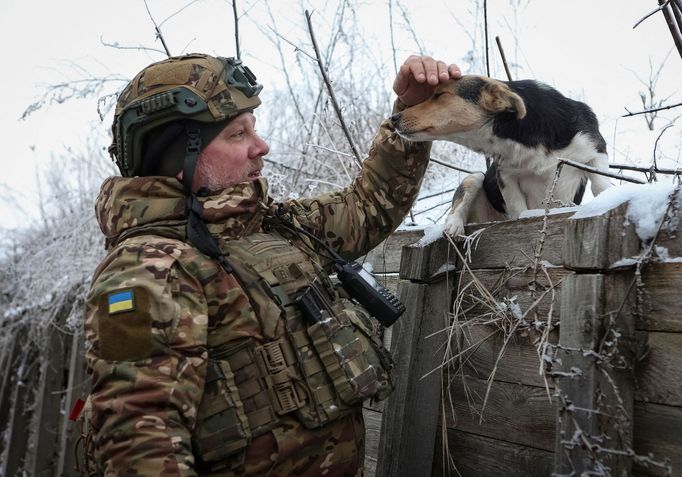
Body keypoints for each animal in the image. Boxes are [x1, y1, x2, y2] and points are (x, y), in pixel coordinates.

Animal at [390, 75, 608, 236]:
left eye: (439, 94)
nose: (393, 118)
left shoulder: (595, 150)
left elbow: (600, 186)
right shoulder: (506, 176)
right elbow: (519, 209)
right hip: (475, 177)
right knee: (458, 204)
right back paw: (453, 225)